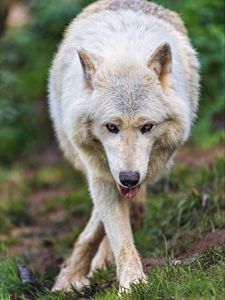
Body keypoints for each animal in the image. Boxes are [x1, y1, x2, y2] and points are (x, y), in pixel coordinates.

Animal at [48, 0, 200, 292]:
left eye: (147, 127)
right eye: (111, 127)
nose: (129, 178)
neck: (125, 53)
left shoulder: (144, 169)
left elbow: (112, 229)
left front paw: (128, 280)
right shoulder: (100, 173)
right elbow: (116, 233)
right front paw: (73, 279)